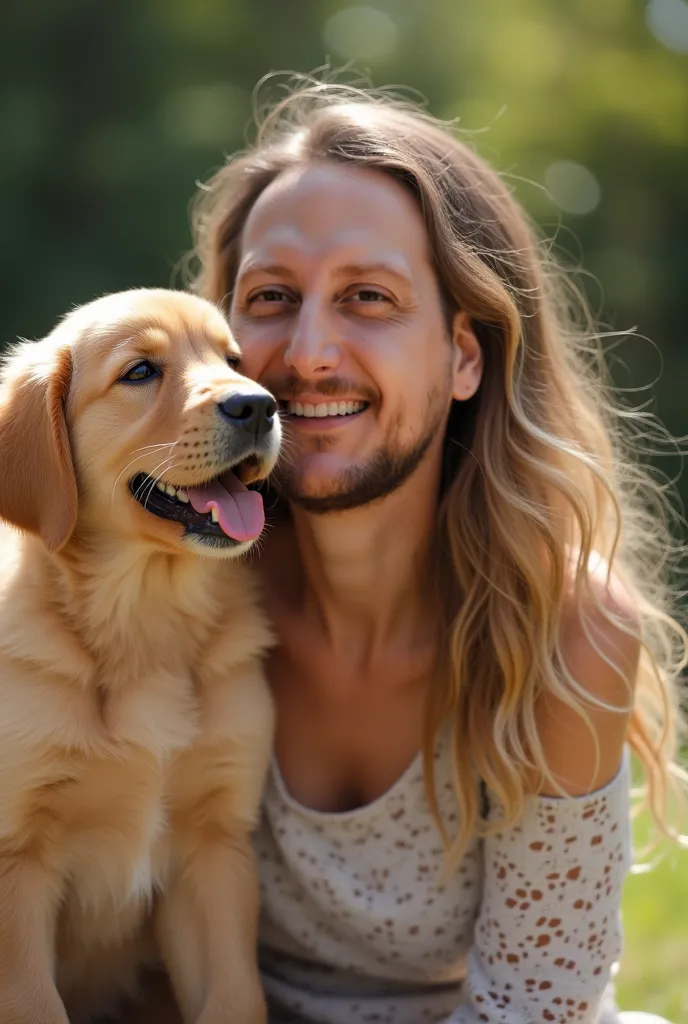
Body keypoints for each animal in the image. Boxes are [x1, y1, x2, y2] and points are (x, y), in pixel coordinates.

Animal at [0, 290, 282, 1024]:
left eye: (233, 361)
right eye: (140, 372)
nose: (259, 406)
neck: (147, 616)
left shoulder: (214, 850)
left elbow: (237, 997)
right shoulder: (17, 861)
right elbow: (36, 1004)